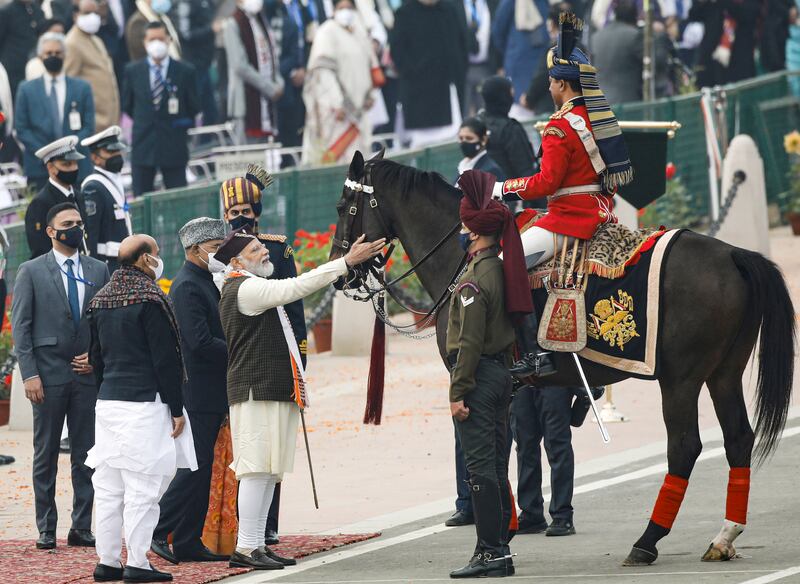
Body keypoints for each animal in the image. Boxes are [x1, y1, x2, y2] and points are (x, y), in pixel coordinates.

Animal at [330, 151, 792, 564]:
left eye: (344, 206)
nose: (340, 273)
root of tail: (733, 254)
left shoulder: (474, 379)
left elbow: (491, 453)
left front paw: (493, 539)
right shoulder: (506, 387)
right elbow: (501, 452)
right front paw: (505, 530)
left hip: (680, 380)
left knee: (684, 447)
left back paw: (647, 542)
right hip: (723, 374)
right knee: (738, 439)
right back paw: (724, 536)